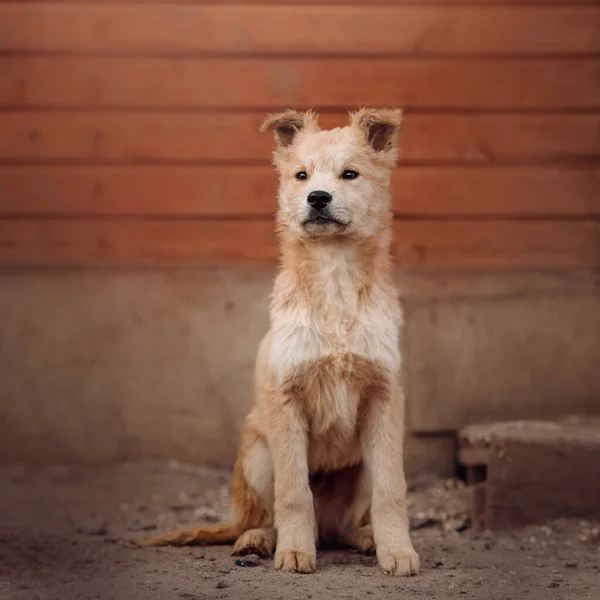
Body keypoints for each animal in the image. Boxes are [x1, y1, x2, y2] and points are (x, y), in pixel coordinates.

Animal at [135, 108, 418, 576]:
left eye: (350, 173)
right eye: (301, 175)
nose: (317, 198)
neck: (334, 280)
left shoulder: (385, 398)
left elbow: (392, 490)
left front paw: (397, 551)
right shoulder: (285, 400)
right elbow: (293, 492)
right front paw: (295, 551)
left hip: (358, 467)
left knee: (338, 527)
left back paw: (364, 537)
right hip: (257, 455)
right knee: (263, 516)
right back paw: (257, 540)